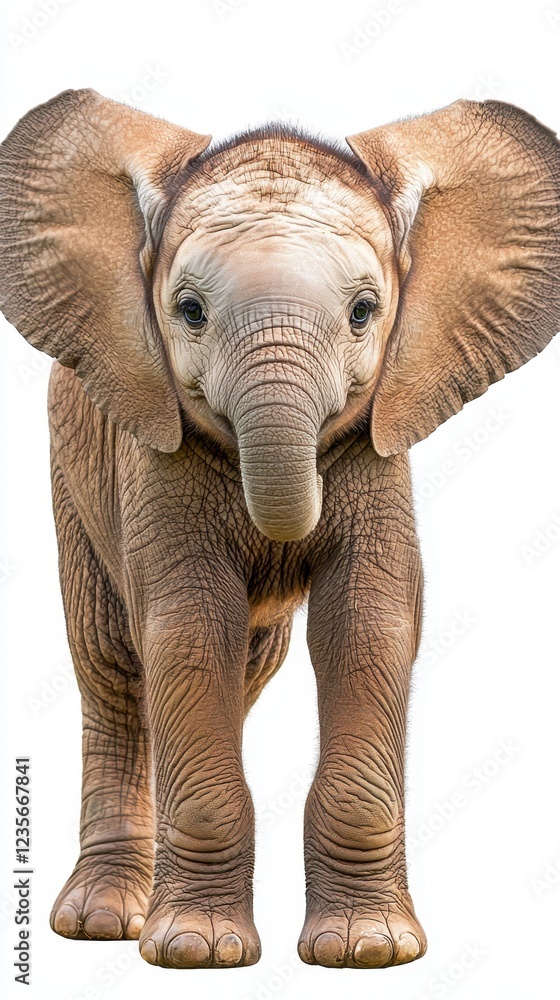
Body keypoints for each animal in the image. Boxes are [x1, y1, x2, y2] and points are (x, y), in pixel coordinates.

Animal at [1, 88, 559, 971]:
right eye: (189, 311)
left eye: (365, 312)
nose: (282, 543)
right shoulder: (151, 451)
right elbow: (191, 628)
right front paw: (194, 952)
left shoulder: (377, 443)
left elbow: (365, 623)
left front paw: (367, 951)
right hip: (71, 473)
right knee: (114, 666)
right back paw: (104, 923)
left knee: (246, 664)